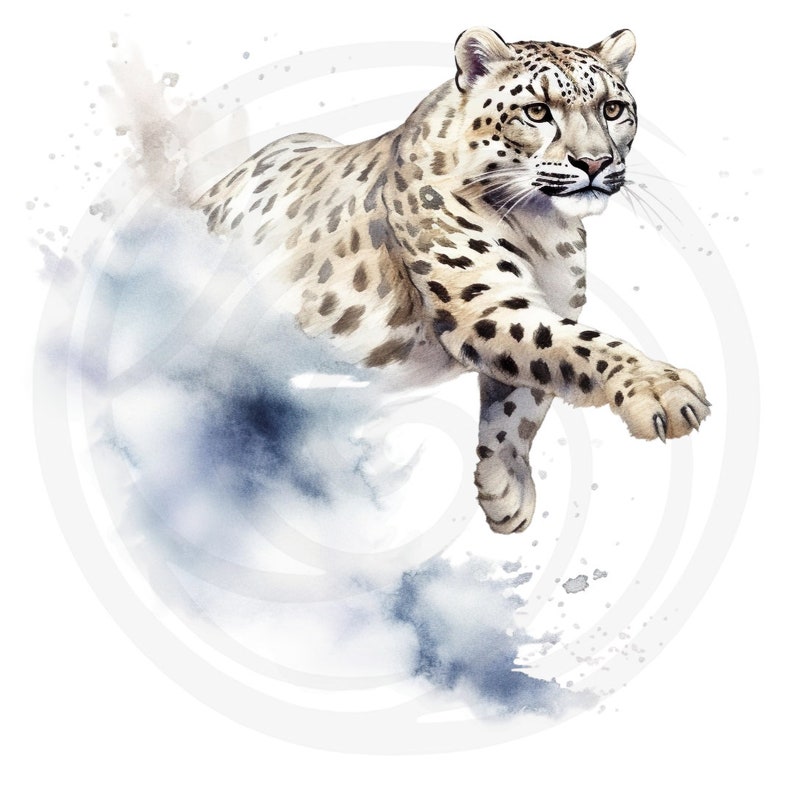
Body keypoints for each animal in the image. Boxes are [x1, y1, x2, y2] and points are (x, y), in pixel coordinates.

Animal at [194, 27, 710, 535]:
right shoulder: (483, 301)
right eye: (537, 111)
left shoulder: (544, 308)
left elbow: (524, 401)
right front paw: (663, 391)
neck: (542, 226)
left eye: (612, 108)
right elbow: (583, 345)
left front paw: (504, 488)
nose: (595, 162)